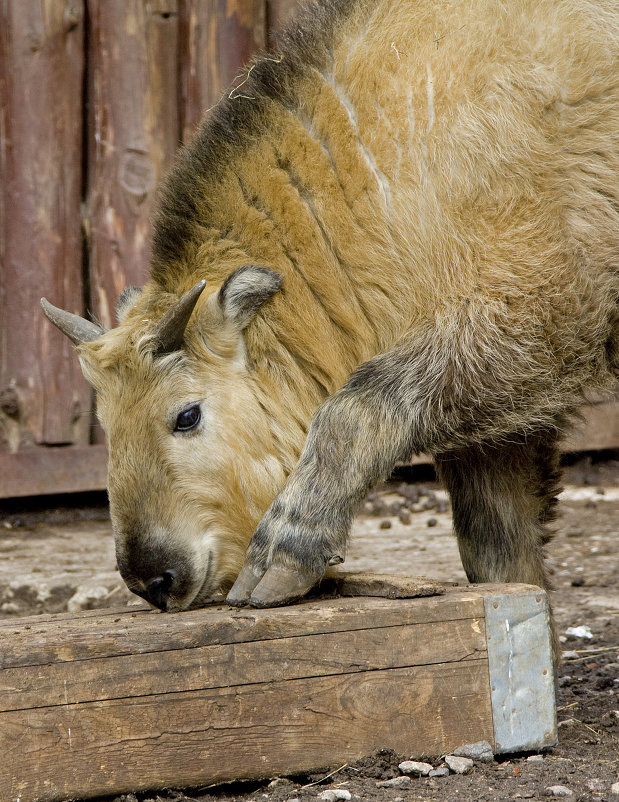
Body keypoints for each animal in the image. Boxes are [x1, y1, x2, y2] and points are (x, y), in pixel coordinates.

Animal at [42, 0, 616, 620]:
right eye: (106, 425)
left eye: (187, 415)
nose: (152, 578)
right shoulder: (498, 425)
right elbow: (501, 556)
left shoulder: (535, 322)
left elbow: (350, 407)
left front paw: (285, 549)